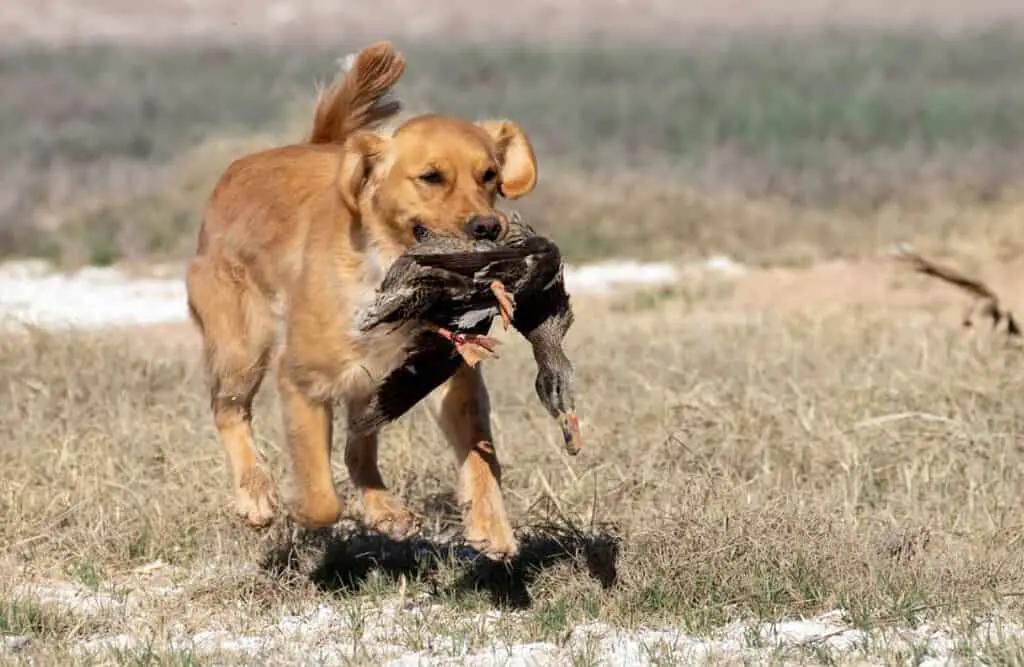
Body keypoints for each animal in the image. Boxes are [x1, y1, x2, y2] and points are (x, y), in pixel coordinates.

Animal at [185, 41, 540, 561]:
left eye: (489, 175)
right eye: (431, 177)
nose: (488, 227)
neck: (389, 272)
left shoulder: (451, 377)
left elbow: (480, 456)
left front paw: (491, 526)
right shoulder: (303, 380)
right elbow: (320, 497)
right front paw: (297, 504)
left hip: (370, 384)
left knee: (358, 449)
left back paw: (384, 508)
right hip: (242, 346)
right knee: (228, 410)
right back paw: (256, 493)